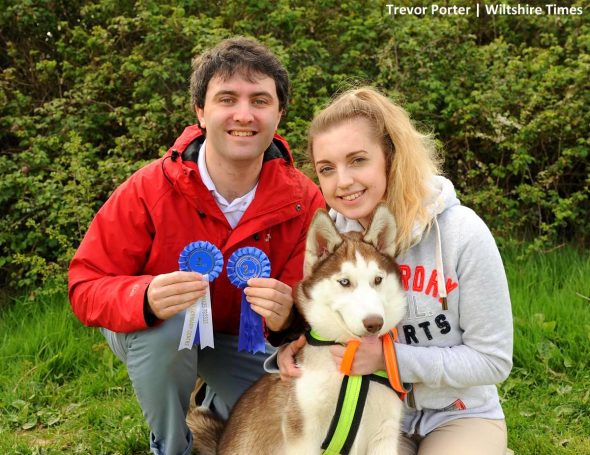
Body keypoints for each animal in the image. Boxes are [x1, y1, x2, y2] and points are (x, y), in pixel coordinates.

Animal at [192, 207, 410, 455]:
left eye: (378, 279)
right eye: (345, 282)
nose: (374, 323)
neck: (350, 367)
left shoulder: (385, 434)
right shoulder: (303, 432)